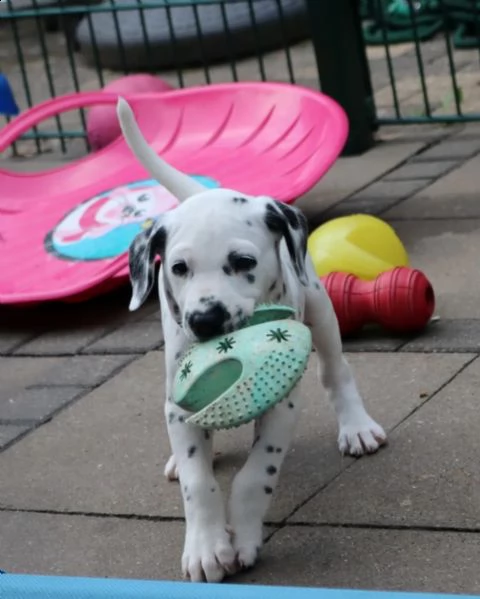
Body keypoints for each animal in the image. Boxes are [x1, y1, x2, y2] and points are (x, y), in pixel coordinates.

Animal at [116, 99, 386, 584]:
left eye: (243, 261)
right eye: (179, 268)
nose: (205, 320)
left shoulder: (283, 403)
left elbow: (257, 472)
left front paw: (241, 535)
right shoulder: (177, 403)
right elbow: (197, 480)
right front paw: (206, 546)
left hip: (320, 308)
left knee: (336, 370)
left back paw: (356, 426)